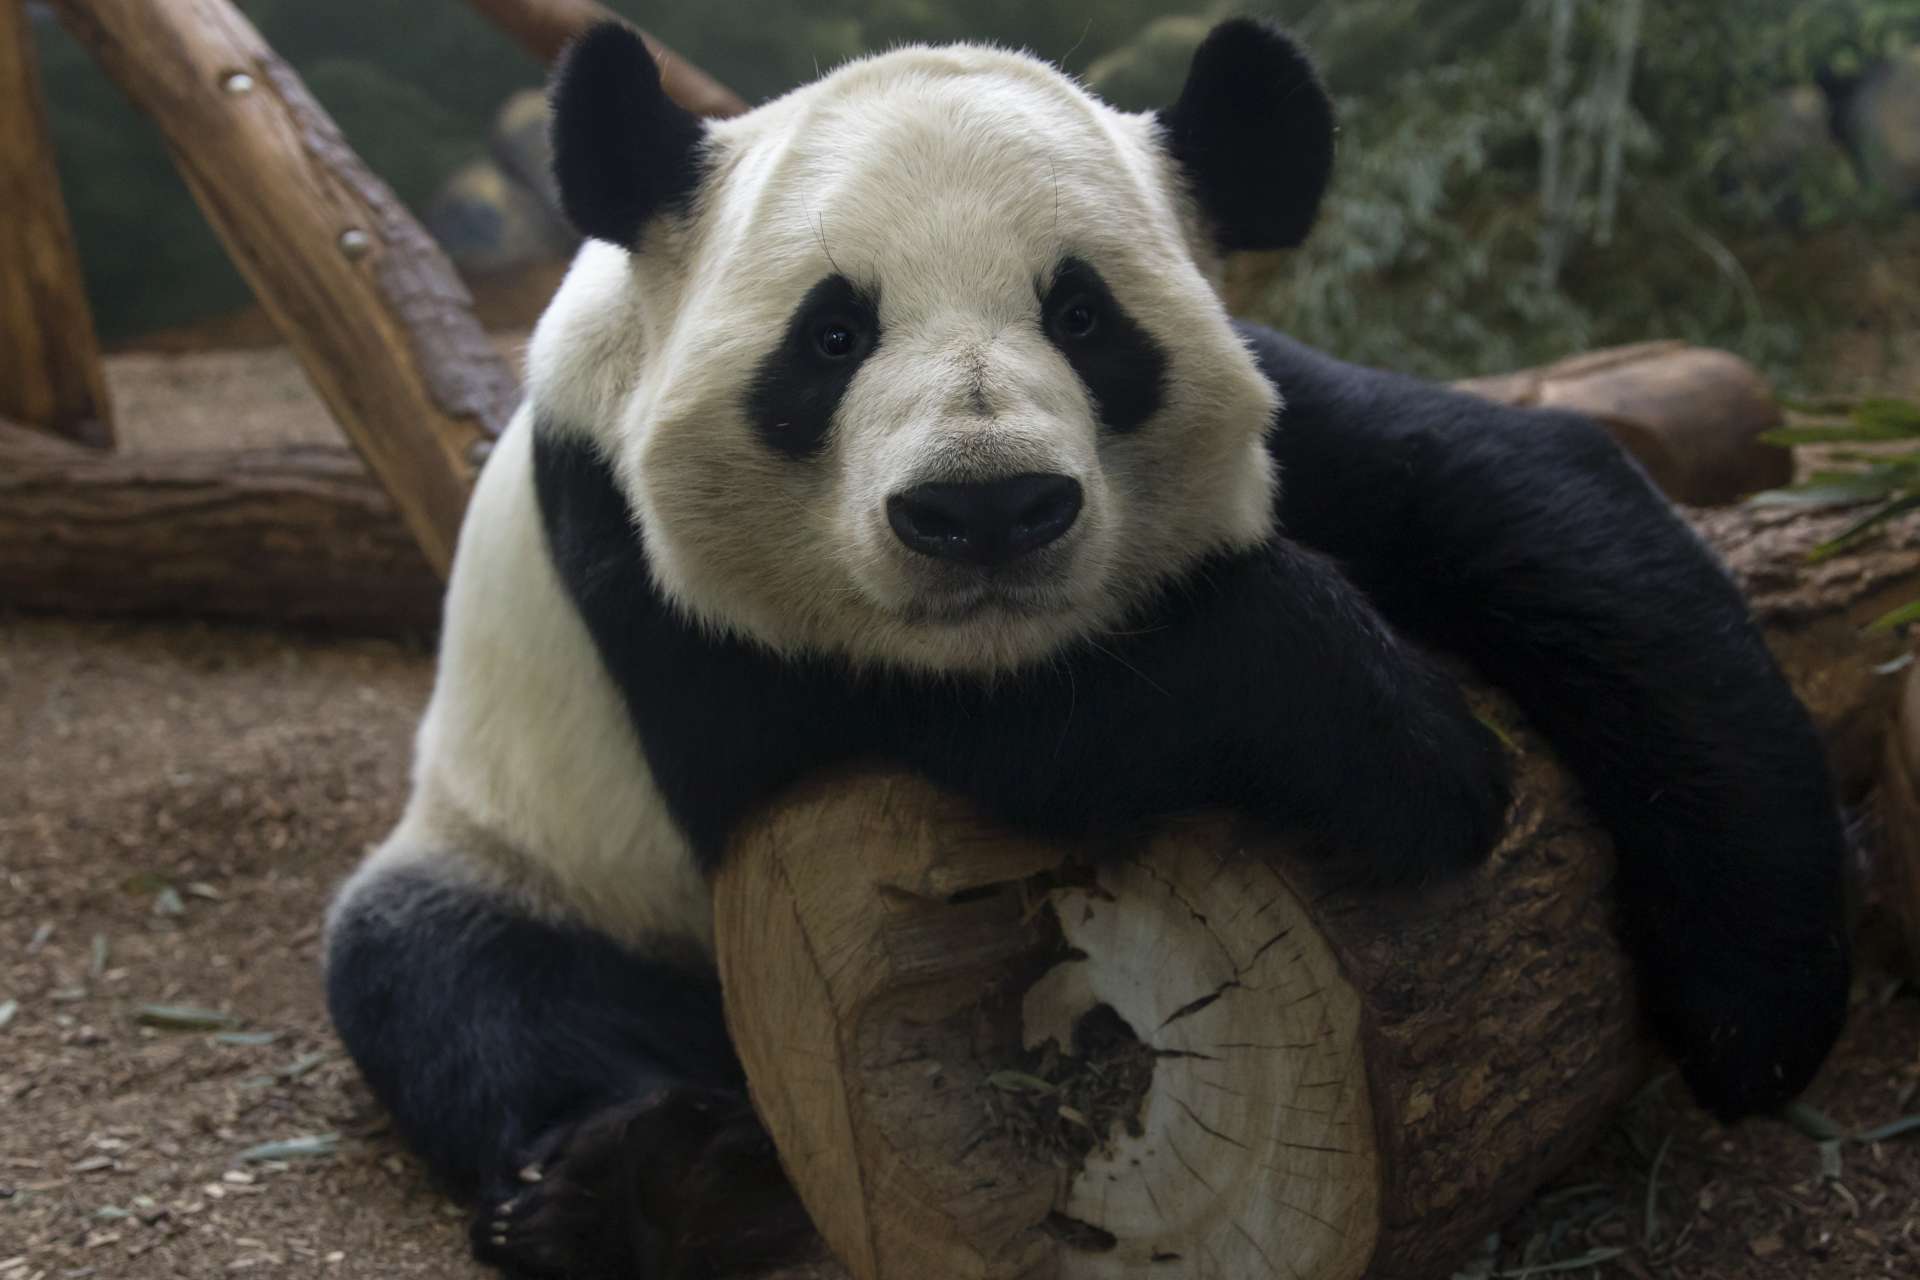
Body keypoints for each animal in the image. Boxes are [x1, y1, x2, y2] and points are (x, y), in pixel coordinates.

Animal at [326, 18, 1851, 1280]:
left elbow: (1522, 490)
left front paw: (1758, 1009)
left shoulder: (1280, 404)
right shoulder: (624, 538)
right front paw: (1406, 748)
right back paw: (650, 1181)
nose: (986, 509)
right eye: (832, 333)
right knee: (455, 982)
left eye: (1081, 314)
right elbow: (894, 733)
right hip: (529, 851)